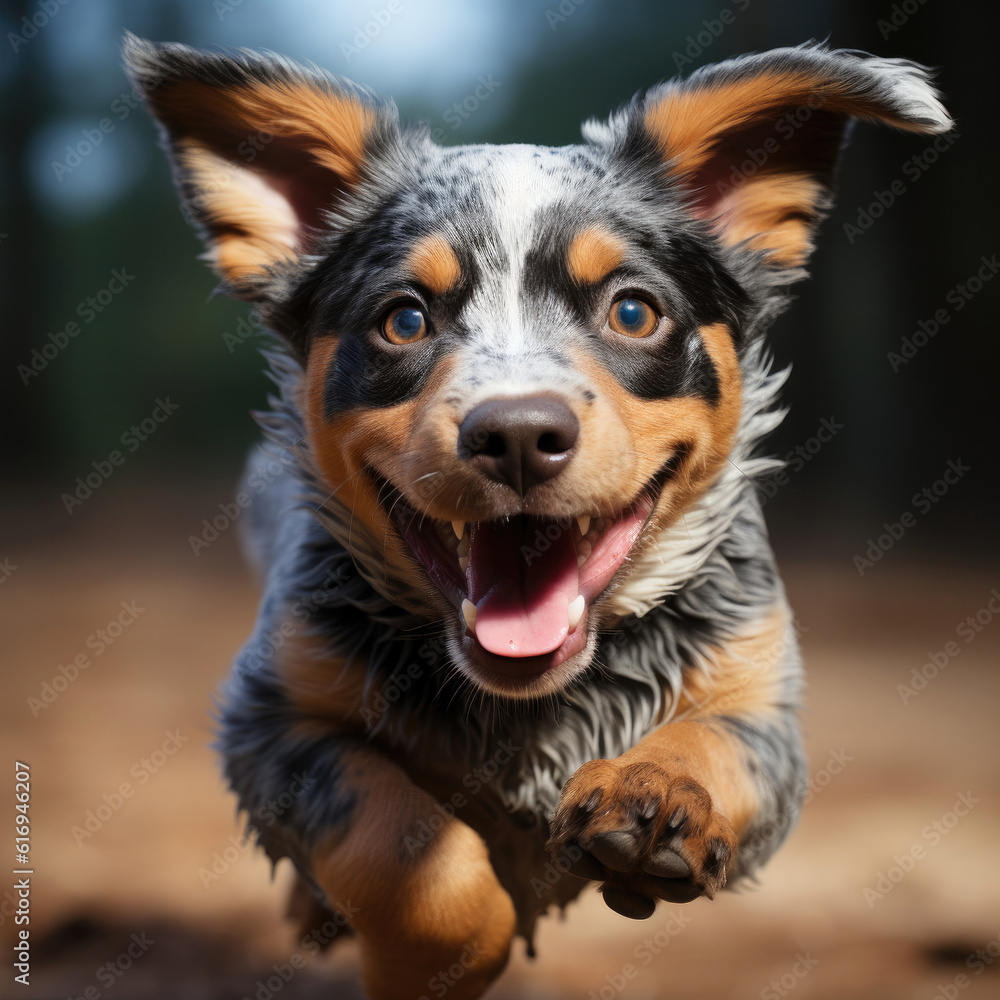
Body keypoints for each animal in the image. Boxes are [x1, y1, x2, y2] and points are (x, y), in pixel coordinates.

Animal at [127, 35, 952, 1000]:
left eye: (633, 310)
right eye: (403, 320)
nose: (518, 433)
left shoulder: (764, 707)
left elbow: (714, 744)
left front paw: (657, 799)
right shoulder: (271, 720)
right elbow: (409, 850)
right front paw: (432, 951)